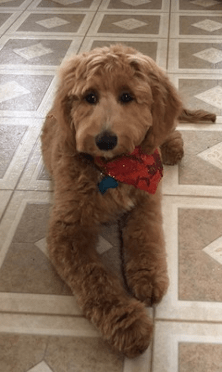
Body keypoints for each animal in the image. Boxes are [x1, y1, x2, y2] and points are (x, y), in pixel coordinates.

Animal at [40, 43, 216, 358]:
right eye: (90, 97)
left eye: (127, 97)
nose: (105, 140)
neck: (113, 168)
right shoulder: (67, 232)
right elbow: (95, 279)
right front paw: (128, 324)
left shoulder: (146, 201)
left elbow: (146, 237)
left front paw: (148, 277)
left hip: (158, 133)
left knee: (166, 128)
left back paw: (172, 146)